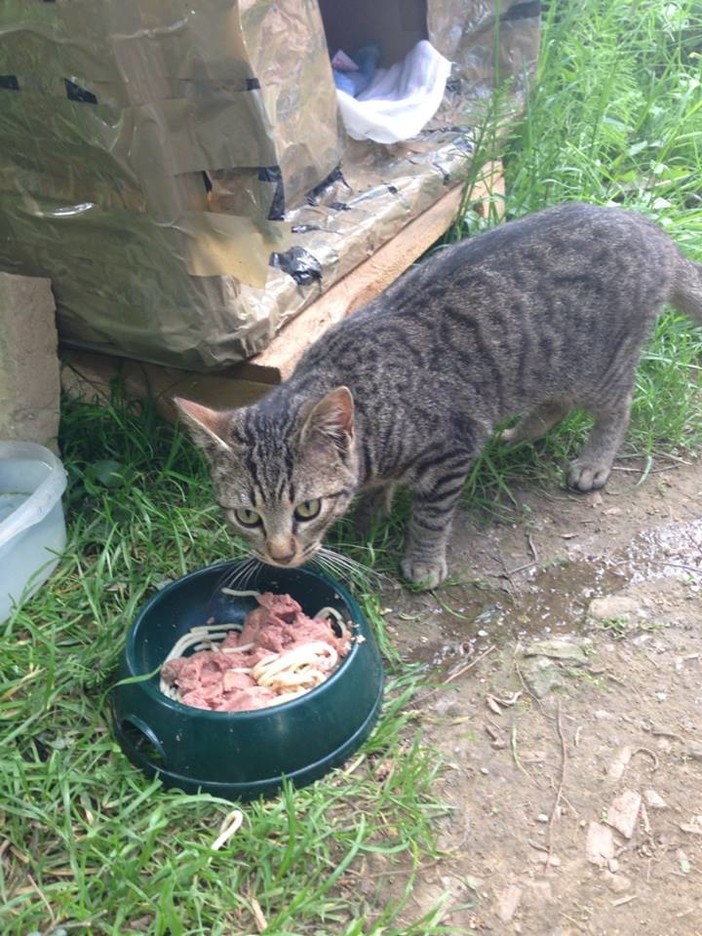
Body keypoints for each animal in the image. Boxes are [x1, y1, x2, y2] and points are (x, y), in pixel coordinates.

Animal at [177, 204, 702, 584]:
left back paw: (594, 461)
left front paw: (423, 560)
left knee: (619, 405)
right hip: (548, 370)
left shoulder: (453, 449)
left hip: (598, 368)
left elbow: (430, 516)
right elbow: (376, 492)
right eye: (247, 516)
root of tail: (647, 227)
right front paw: (368, 518)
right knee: (553, 405)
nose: (280, 555)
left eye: (307, 509)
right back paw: (516, 435)